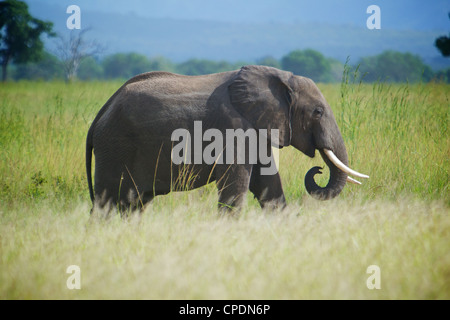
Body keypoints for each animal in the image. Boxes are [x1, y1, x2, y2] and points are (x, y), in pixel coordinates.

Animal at [86, 65, 368, 215]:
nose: (318, 170)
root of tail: (102, 110)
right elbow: (237, 185)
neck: (278, 78)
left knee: (132, 204)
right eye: (317, 112)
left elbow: (268, 184)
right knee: (106, 203)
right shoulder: (235, 129)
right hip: (114, 146)